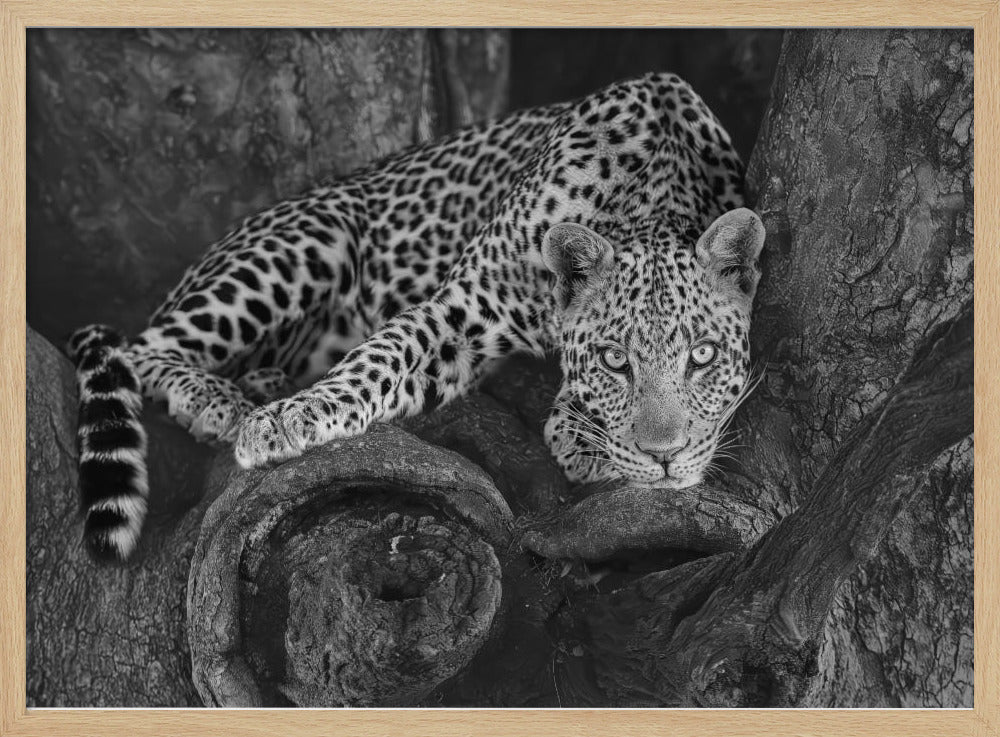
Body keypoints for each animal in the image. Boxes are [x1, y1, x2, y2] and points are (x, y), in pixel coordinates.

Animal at [69, 72, 765, 562]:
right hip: (307, 241)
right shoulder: (462, 307)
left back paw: (263, 381)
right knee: (140, 347)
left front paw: (581, 433)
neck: (649, 192)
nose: (665, 458)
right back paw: (221, 401)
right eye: (616, 361)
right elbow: (380, 357)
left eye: (703, 356)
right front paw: (287, 422)